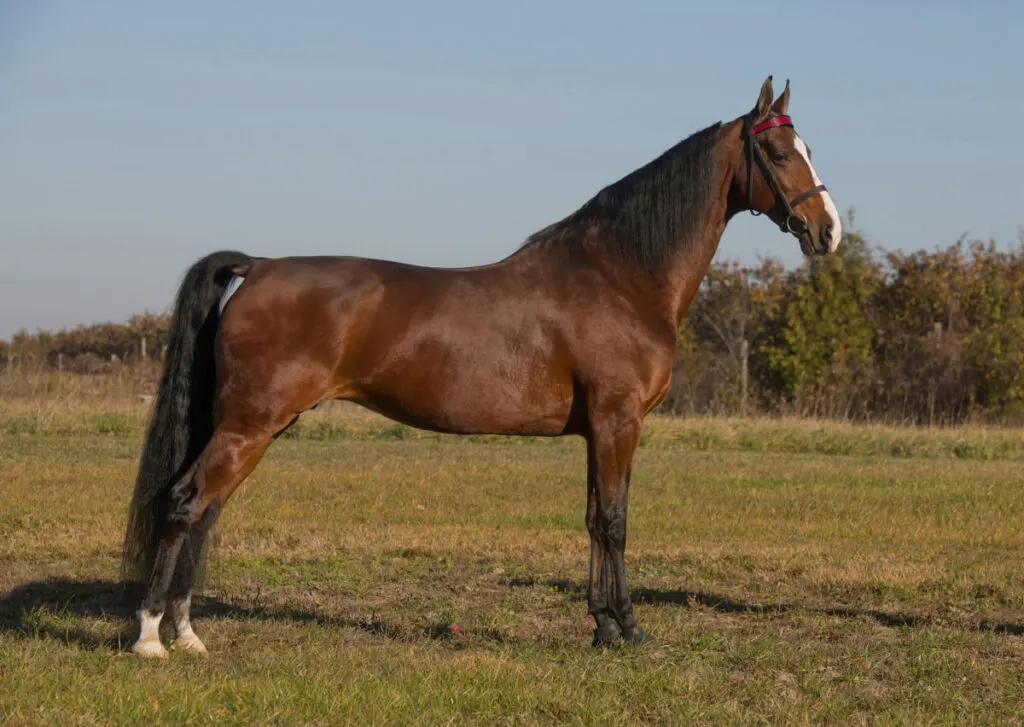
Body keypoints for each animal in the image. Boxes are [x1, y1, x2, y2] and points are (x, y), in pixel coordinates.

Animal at [121, 76, 839, 659]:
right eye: (780, 153)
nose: (827, 230)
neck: (619, 275)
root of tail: (261, 265)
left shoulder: (598, 430)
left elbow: (593, 519)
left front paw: (602, 626)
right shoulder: (619, 421)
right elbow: (615, 521)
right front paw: (630, 629)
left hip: (254, 427)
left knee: (206, 511)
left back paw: (187, 633)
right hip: (249, 425)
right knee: (185, 504)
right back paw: (152, 636)